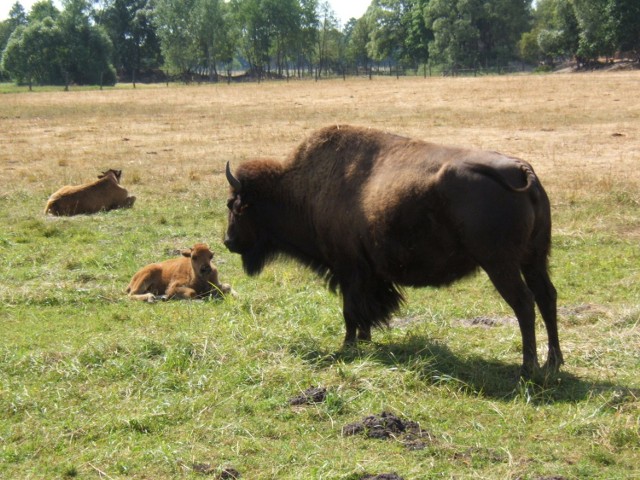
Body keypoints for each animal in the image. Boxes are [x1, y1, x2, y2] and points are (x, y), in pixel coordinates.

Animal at [222, 124, 564, 376]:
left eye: (234, 205)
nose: (228, 241)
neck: (300, 189)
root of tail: (521, 170)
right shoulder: (366, 275)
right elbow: (364, 310)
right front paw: (364, 340)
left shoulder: (348, 270)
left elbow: (350, 311)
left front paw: (348, 346)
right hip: (534, 259)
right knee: (546, 296)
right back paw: (553, 362)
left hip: (500, 264)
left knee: (524, 302)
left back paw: (529, 367)